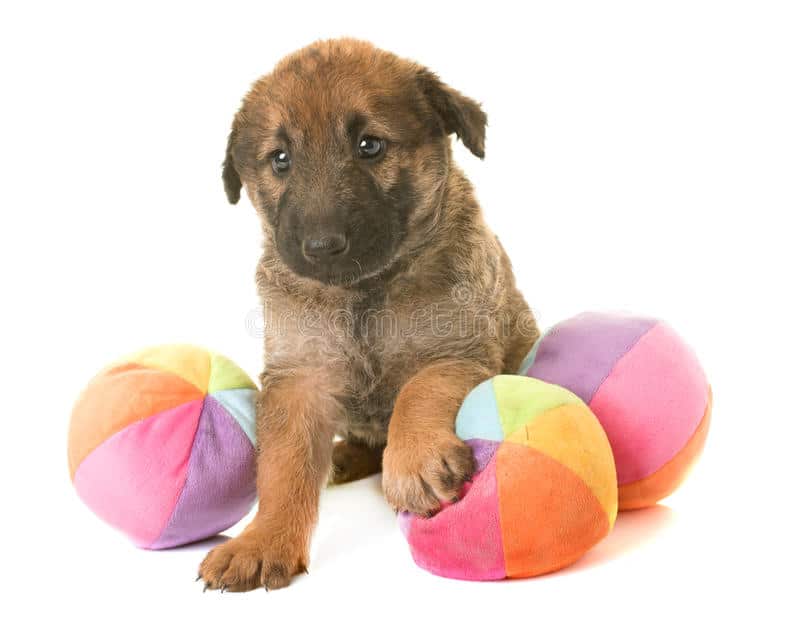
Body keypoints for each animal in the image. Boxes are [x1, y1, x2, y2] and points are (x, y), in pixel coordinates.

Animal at [199, 37, 536, 592]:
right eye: (280, 159)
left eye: (370, 146)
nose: (321, 246)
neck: (363, 291)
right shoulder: (299, 380)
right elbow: (283, 468)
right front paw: (264, 541)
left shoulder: (456, 352)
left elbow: (420, 390)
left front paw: (414, 461)